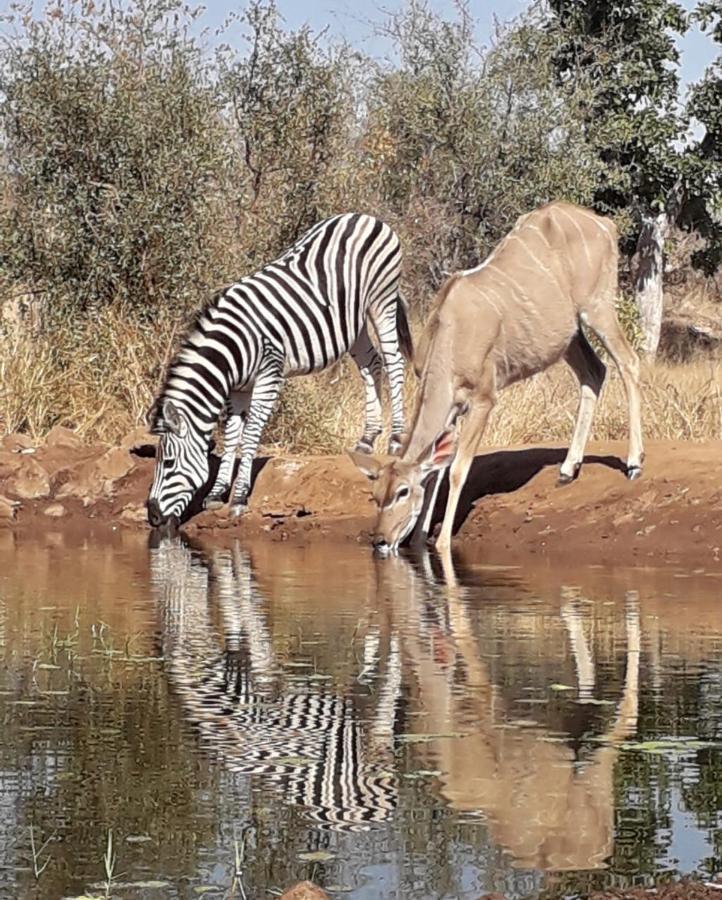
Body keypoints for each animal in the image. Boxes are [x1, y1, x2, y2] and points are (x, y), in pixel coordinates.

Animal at [146, 214, 410, 528]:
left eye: (168, 463)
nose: (152, 515)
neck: (233, 347)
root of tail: (364, 216)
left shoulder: (269, 376)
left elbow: (250, 436)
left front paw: (238, 498)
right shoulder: (238, 389)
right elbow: (232, 436)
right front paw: (217, 493)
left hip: (382, 301)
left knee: (394, 361)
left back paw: (396, 439)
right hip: (353, 324)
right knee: (372, 363)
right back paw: (367, 439)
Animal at [348, 202, 640, 556]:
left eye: (402, 491)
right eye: (375, 495)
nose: (380, 541)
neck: (450, 332)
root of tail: (606, 224)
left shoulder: (483, 399)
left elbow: (457, 469)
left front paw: (442, 541)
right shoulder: (453, 409)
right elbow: (436, 470)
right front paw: (419, 538)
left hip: (598, 308)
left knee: (629, 362)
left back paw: (634, 464)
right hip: (567, 336)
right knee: (595, 371)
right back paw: (568, 470)